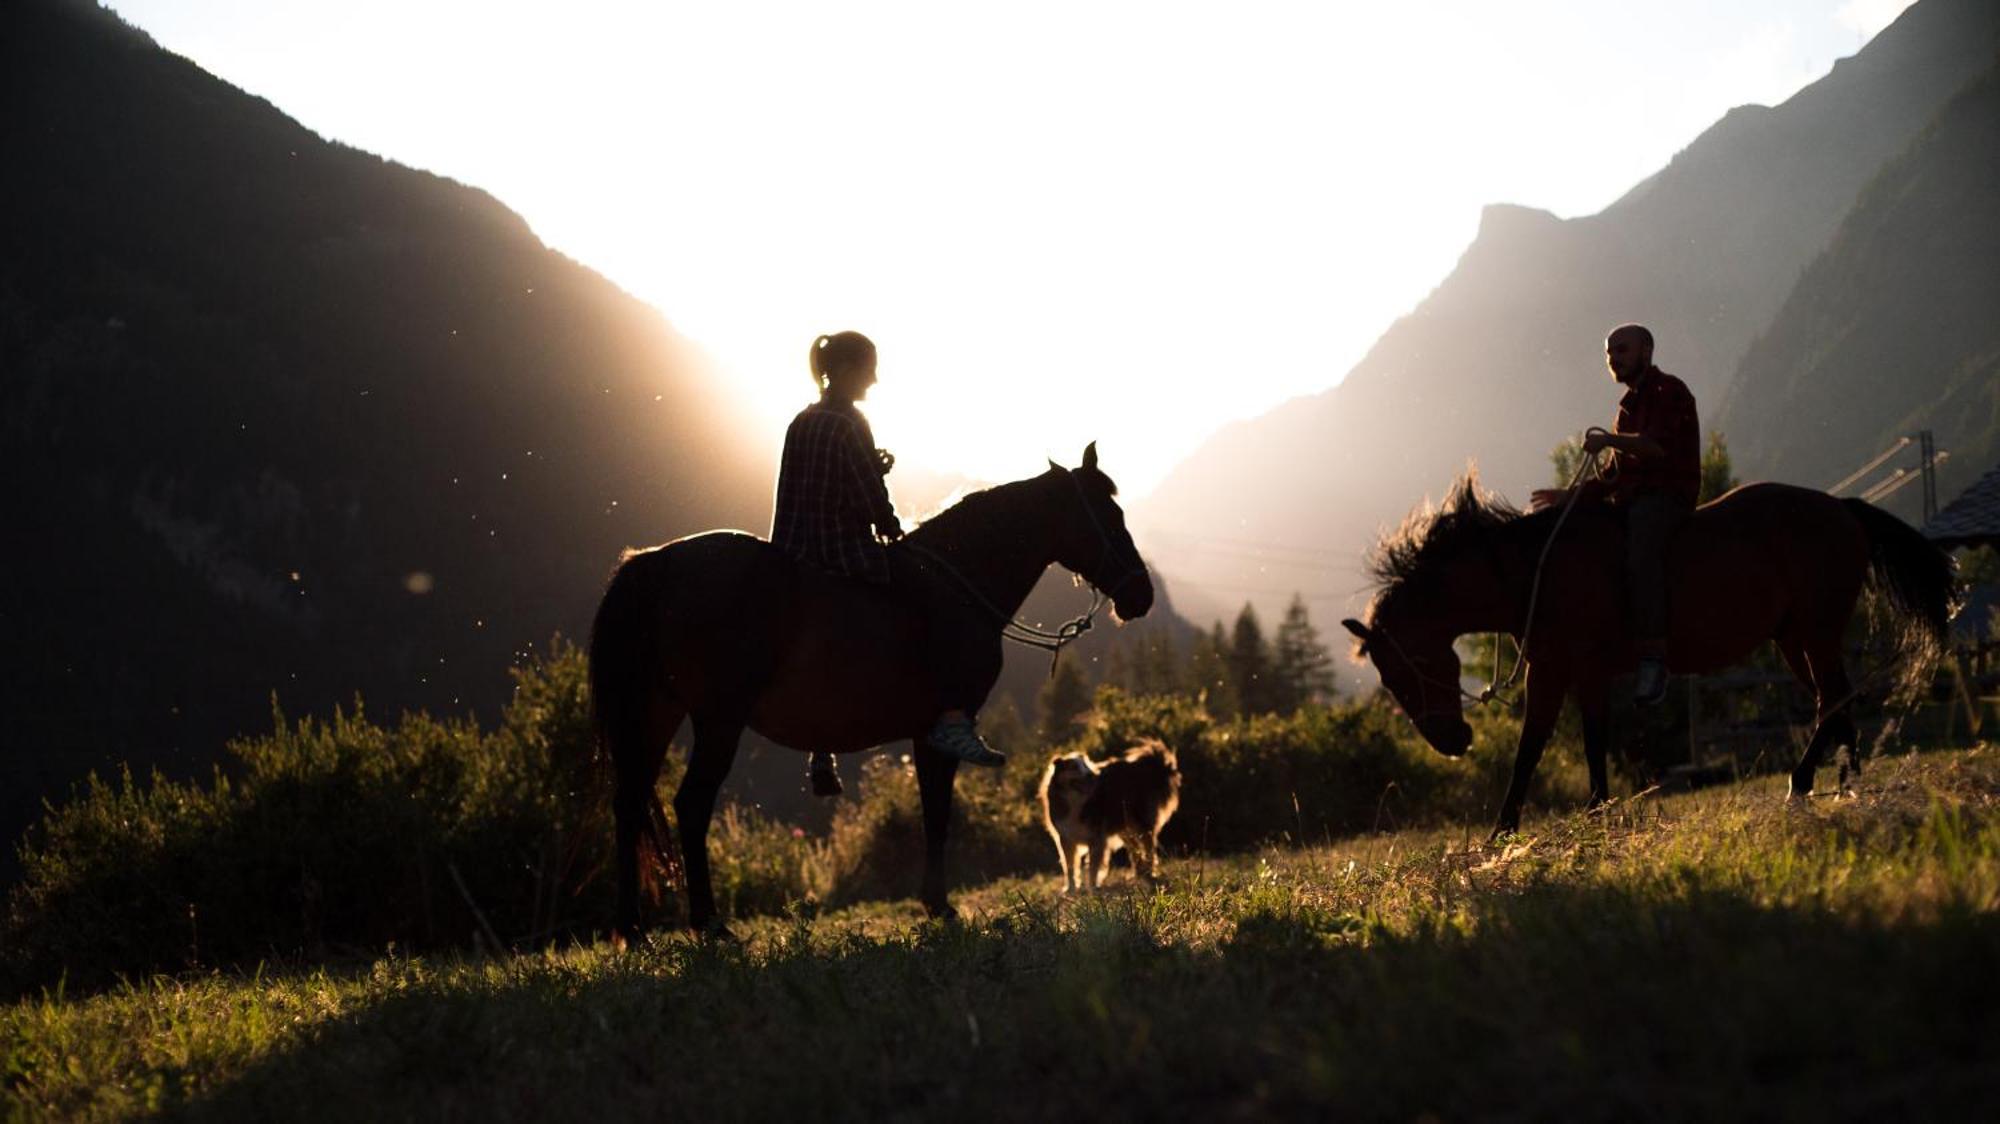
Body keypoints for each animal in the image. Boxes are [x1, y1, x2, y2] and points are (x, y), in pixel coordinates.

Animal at [584, 442, 1160, 932]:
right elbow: (937, 812)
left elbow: (933, 811)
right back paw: (707, 923)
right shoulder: (941, 733)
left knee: (629, 803)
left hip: (656, 712)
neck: (960, 586)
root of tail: (656, 562)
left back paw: (632, 929)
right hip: (717, 719)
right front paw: (939, 905)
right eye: (1111, 516)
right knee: (691, 804)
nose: (1142, 595)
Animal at [1344, 470, 1952, 832]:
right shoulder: (1574, 673)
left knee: (1832, 701)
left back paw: (1803, 785)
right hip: (1794, 640)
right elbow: (1574, 744)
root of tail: (1842, 509)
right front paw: (1584, 814)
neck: (1533, 570)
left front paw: (1510, 830)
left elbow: (1537, 747)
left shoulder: (1562, 670)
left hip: (1816, 633)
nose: (1452, 741)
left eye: (1409, 670)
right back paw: (1848, 787)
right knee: (1838, 701)